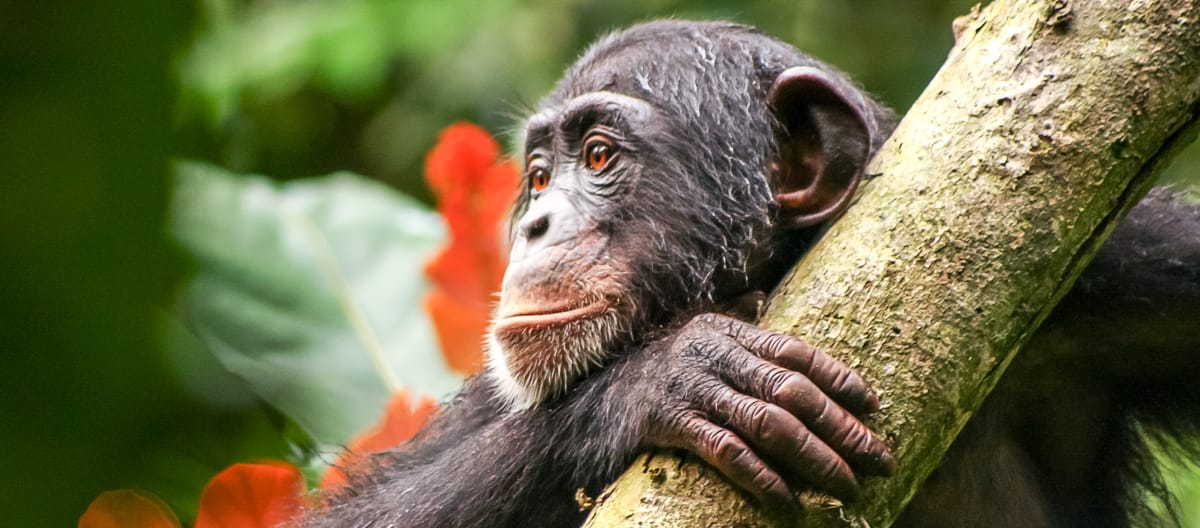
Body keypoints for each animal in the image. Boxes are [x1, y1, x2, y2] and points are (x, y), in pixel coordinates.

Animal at [307, 19, 1200, 528]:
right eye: (537, 175)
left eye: (597, 156)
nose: (534, 223)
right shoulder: (495, 394)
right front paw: (669, 376)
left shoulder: (1129, 272)